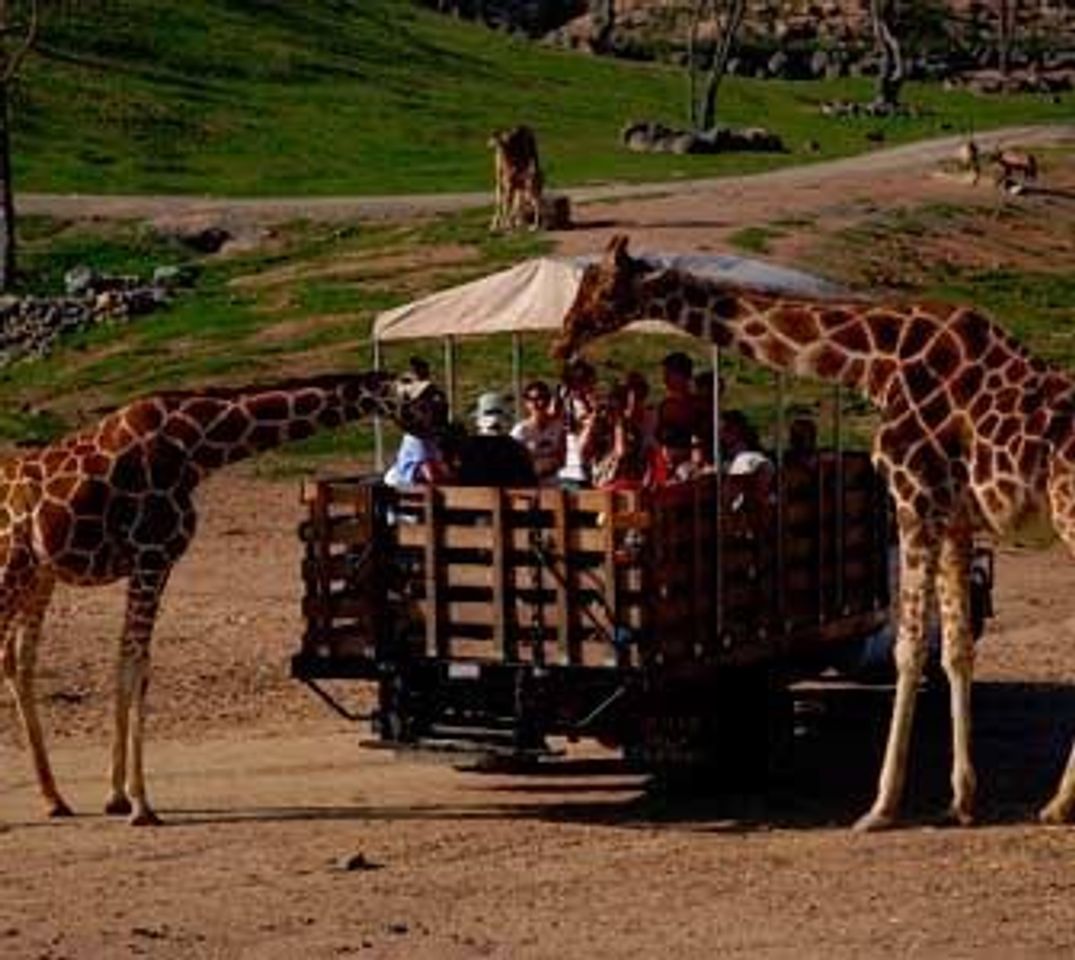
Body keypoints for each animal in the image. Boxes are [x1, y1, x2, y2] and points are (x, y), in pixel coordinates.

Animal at [3, 369, 440, 825]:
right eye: (434, 401)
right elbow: (134, 664)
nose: (451, 437)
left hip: (37, 575)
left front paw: (117, 796)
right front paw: (140, 804)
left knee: (17, 660)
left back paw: (54, 798)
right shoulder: (151, 556)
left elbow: (135, 666)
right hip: (13, 566)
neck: (196, 449)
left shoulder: (156, 563)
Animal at [550, 236, 1075, 829]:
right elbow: (956, 647)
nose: (563, 338)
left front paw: (881, 807)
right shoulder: (954, 515)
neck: (874, 362)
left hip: (1069, 513)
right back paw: (1056, 802)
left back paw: (1058, 804)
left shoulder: (913, 496)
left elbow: (910, 647)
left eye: (601, 286)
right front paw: (961, 801)